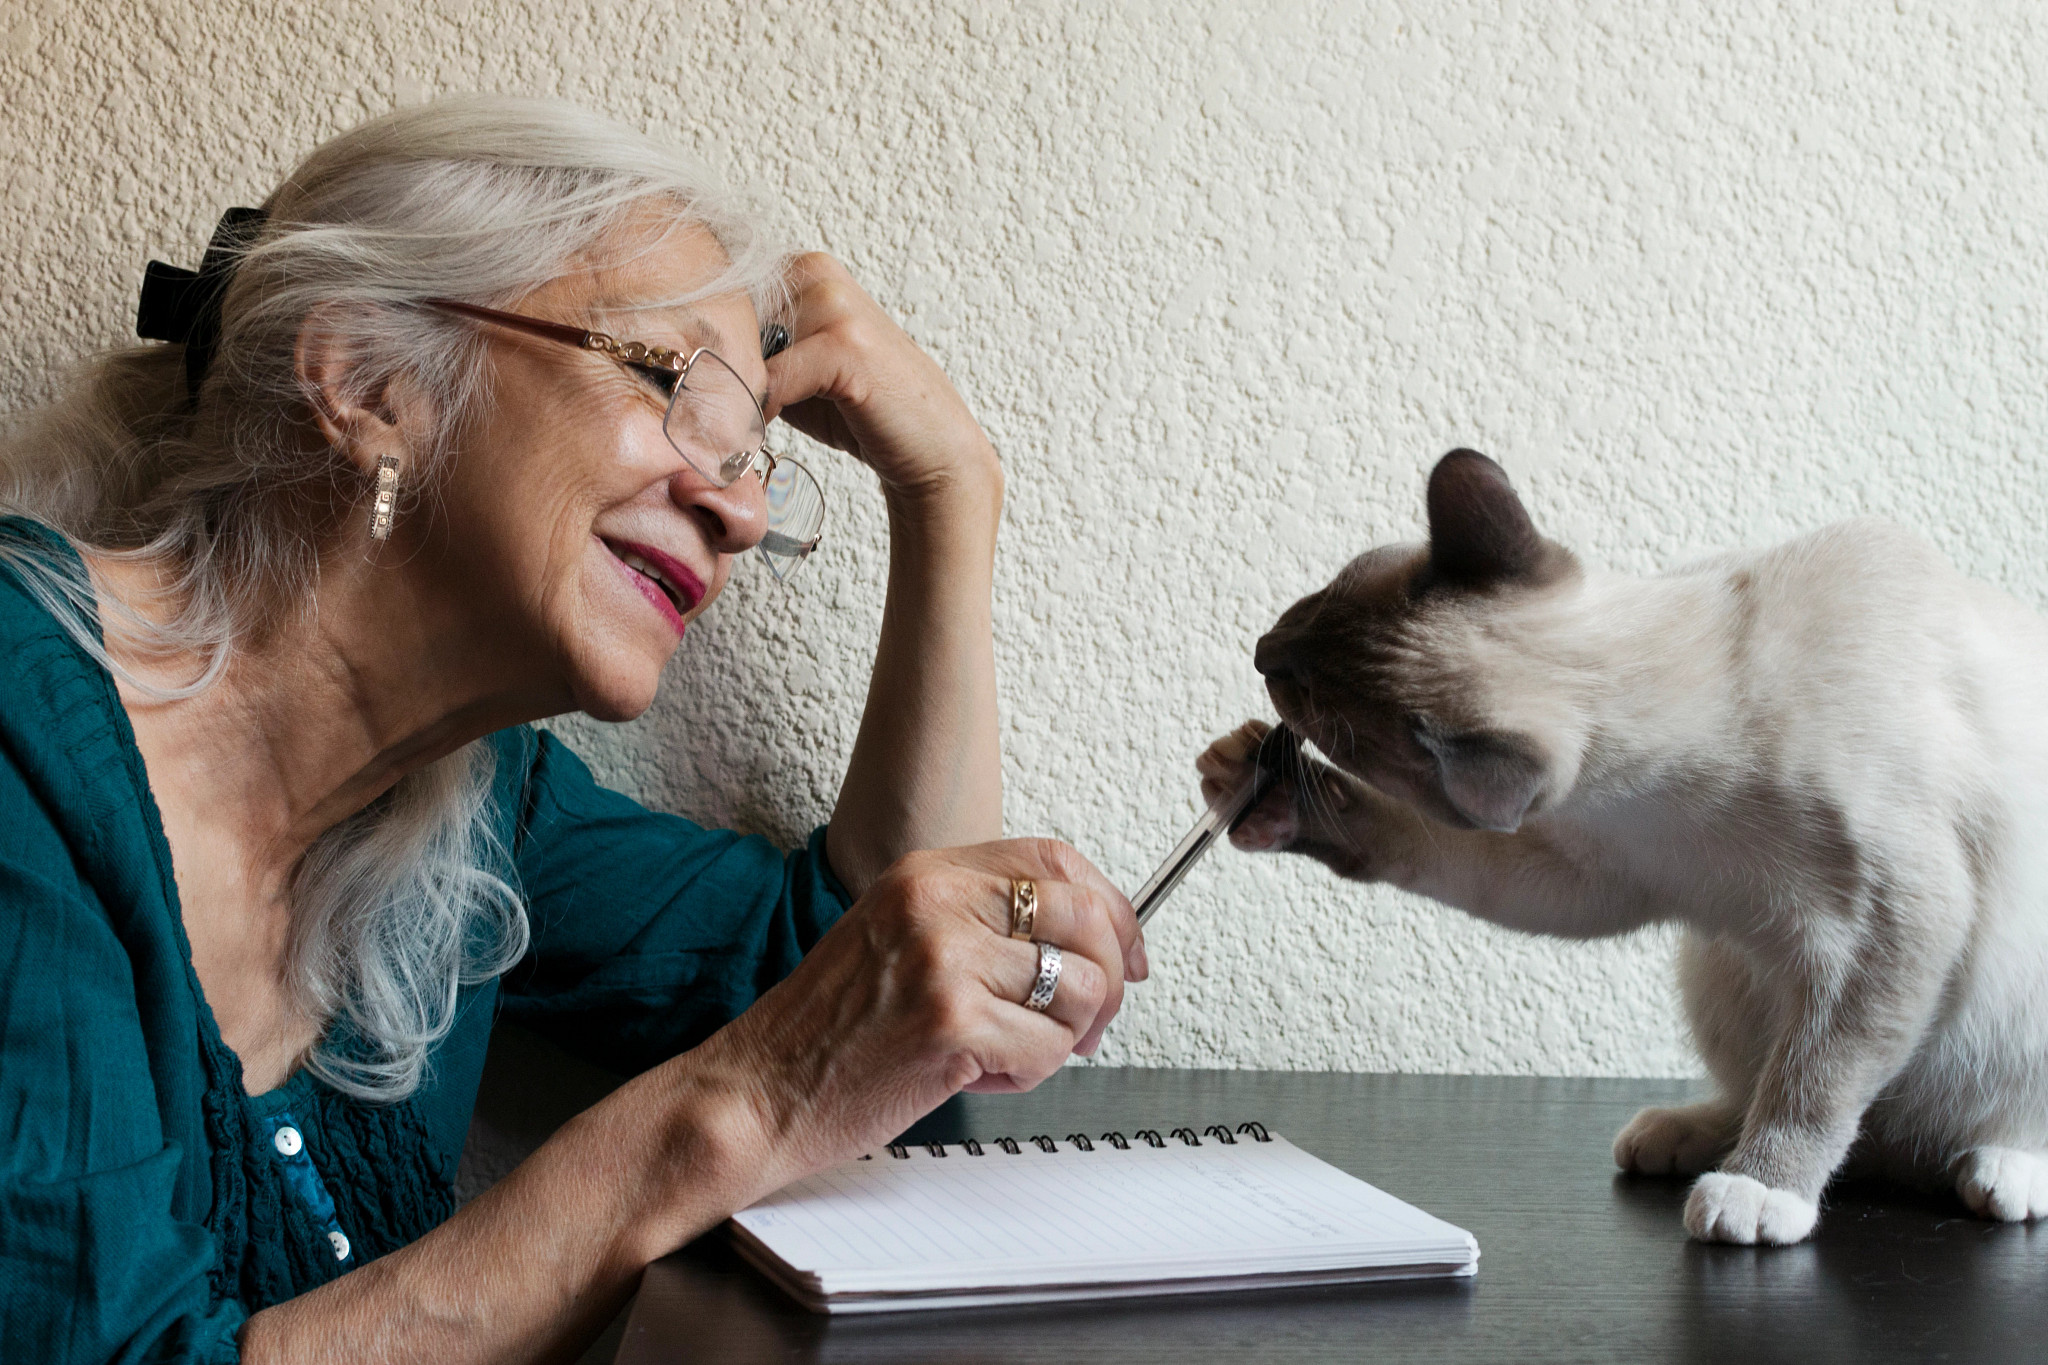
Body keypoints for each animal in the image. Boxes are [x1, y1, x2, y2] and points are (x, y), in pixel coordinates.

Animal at [1201, 449, 2048, 1244]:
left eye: (1319, 709)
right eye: (1320, 602)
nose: (1262, 648)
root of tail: (1909, 1154)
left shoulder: (1883, 933)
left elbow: (1815, 1084)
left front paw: (1763, 1190)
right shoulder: (1599, 872)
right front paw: (1258, 789)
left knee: (1884, 1114)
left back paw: (1999, 1173)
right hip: (1718, 975)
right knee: (1781, 1096)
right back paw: (1680, 1134)